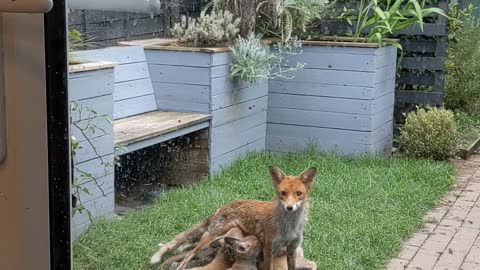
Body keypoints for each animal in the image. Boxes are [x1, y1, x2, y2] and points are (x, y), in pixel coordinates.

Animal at [150, 166, 316, 268]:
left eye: (299, 194)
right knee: (187, 256)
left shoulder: (291, 249)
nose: (289, 207)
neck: (289, 227)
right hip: (209, 239)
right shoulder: (269, 250)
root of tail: (220, 208)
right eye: (283, 193)